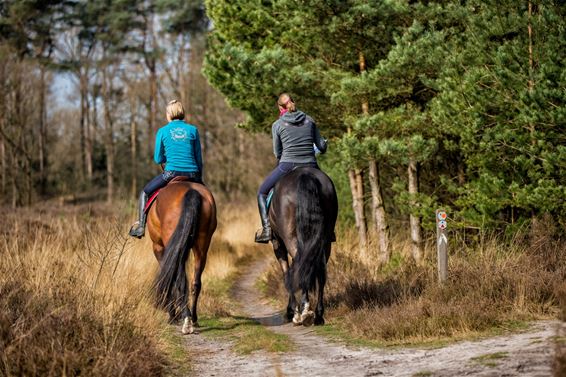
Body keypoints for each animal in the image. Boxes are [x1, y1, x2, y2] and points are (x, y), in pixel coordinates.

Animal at [146, 181, 217, 334]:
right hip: (202, 245)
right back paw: (193, 319)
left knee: (180, 280)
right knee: (195, 282)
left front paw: (172, 315)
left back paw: (186, 321)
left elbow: (169, 278)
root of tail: (191, 191)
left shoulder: (159, 247)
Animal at [270, 166, 338, 324]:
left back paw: (302, 311)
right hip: (325, 241)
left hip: (290, 239)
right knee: (320, 272)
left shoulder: (278, 244)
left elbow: (286, 273)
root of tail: (305, 174)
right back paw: (318, 315)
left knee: (300, 267)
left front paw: (291, 311)